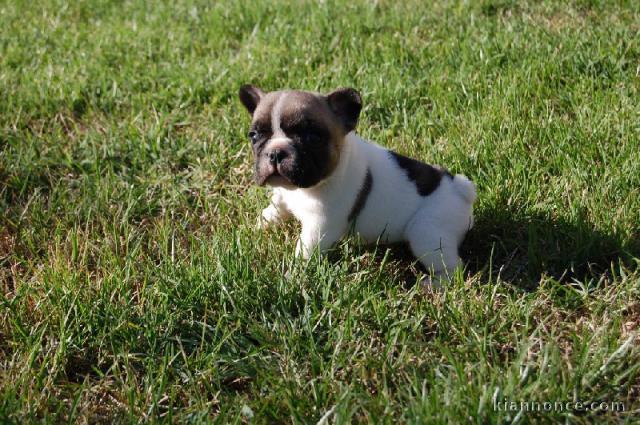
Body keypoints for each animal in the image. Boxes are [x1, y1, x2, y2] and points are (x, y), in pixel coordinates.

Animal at [240, 85, 476, 284]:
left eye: (312, 137)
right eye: (254, 136)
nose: (276, 152)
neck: (302, 190)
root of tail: (459, 189)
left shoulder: (320, 226)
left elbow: (304, 251)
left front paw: (292, 276)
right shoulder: (283, 195)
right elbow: (276, 206)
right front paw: (263, 222)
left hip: (427, 232)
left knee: (452, 267)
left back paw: (434, 284)